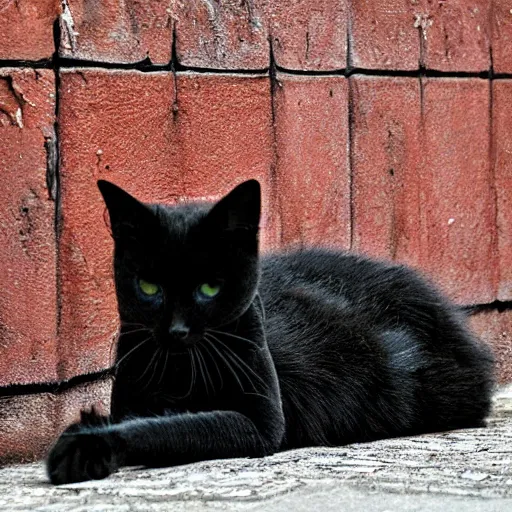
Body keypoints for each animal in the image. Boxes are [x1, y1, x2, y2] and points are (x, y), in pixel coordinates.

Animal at [46, 179, 494, 484]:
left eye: (210, 287)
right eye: (149, 287)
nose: (176, 330)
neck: (180, 373)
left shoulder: (261, 424)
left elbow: (168, 428)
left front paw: (88, 445)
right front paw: (87, 430)